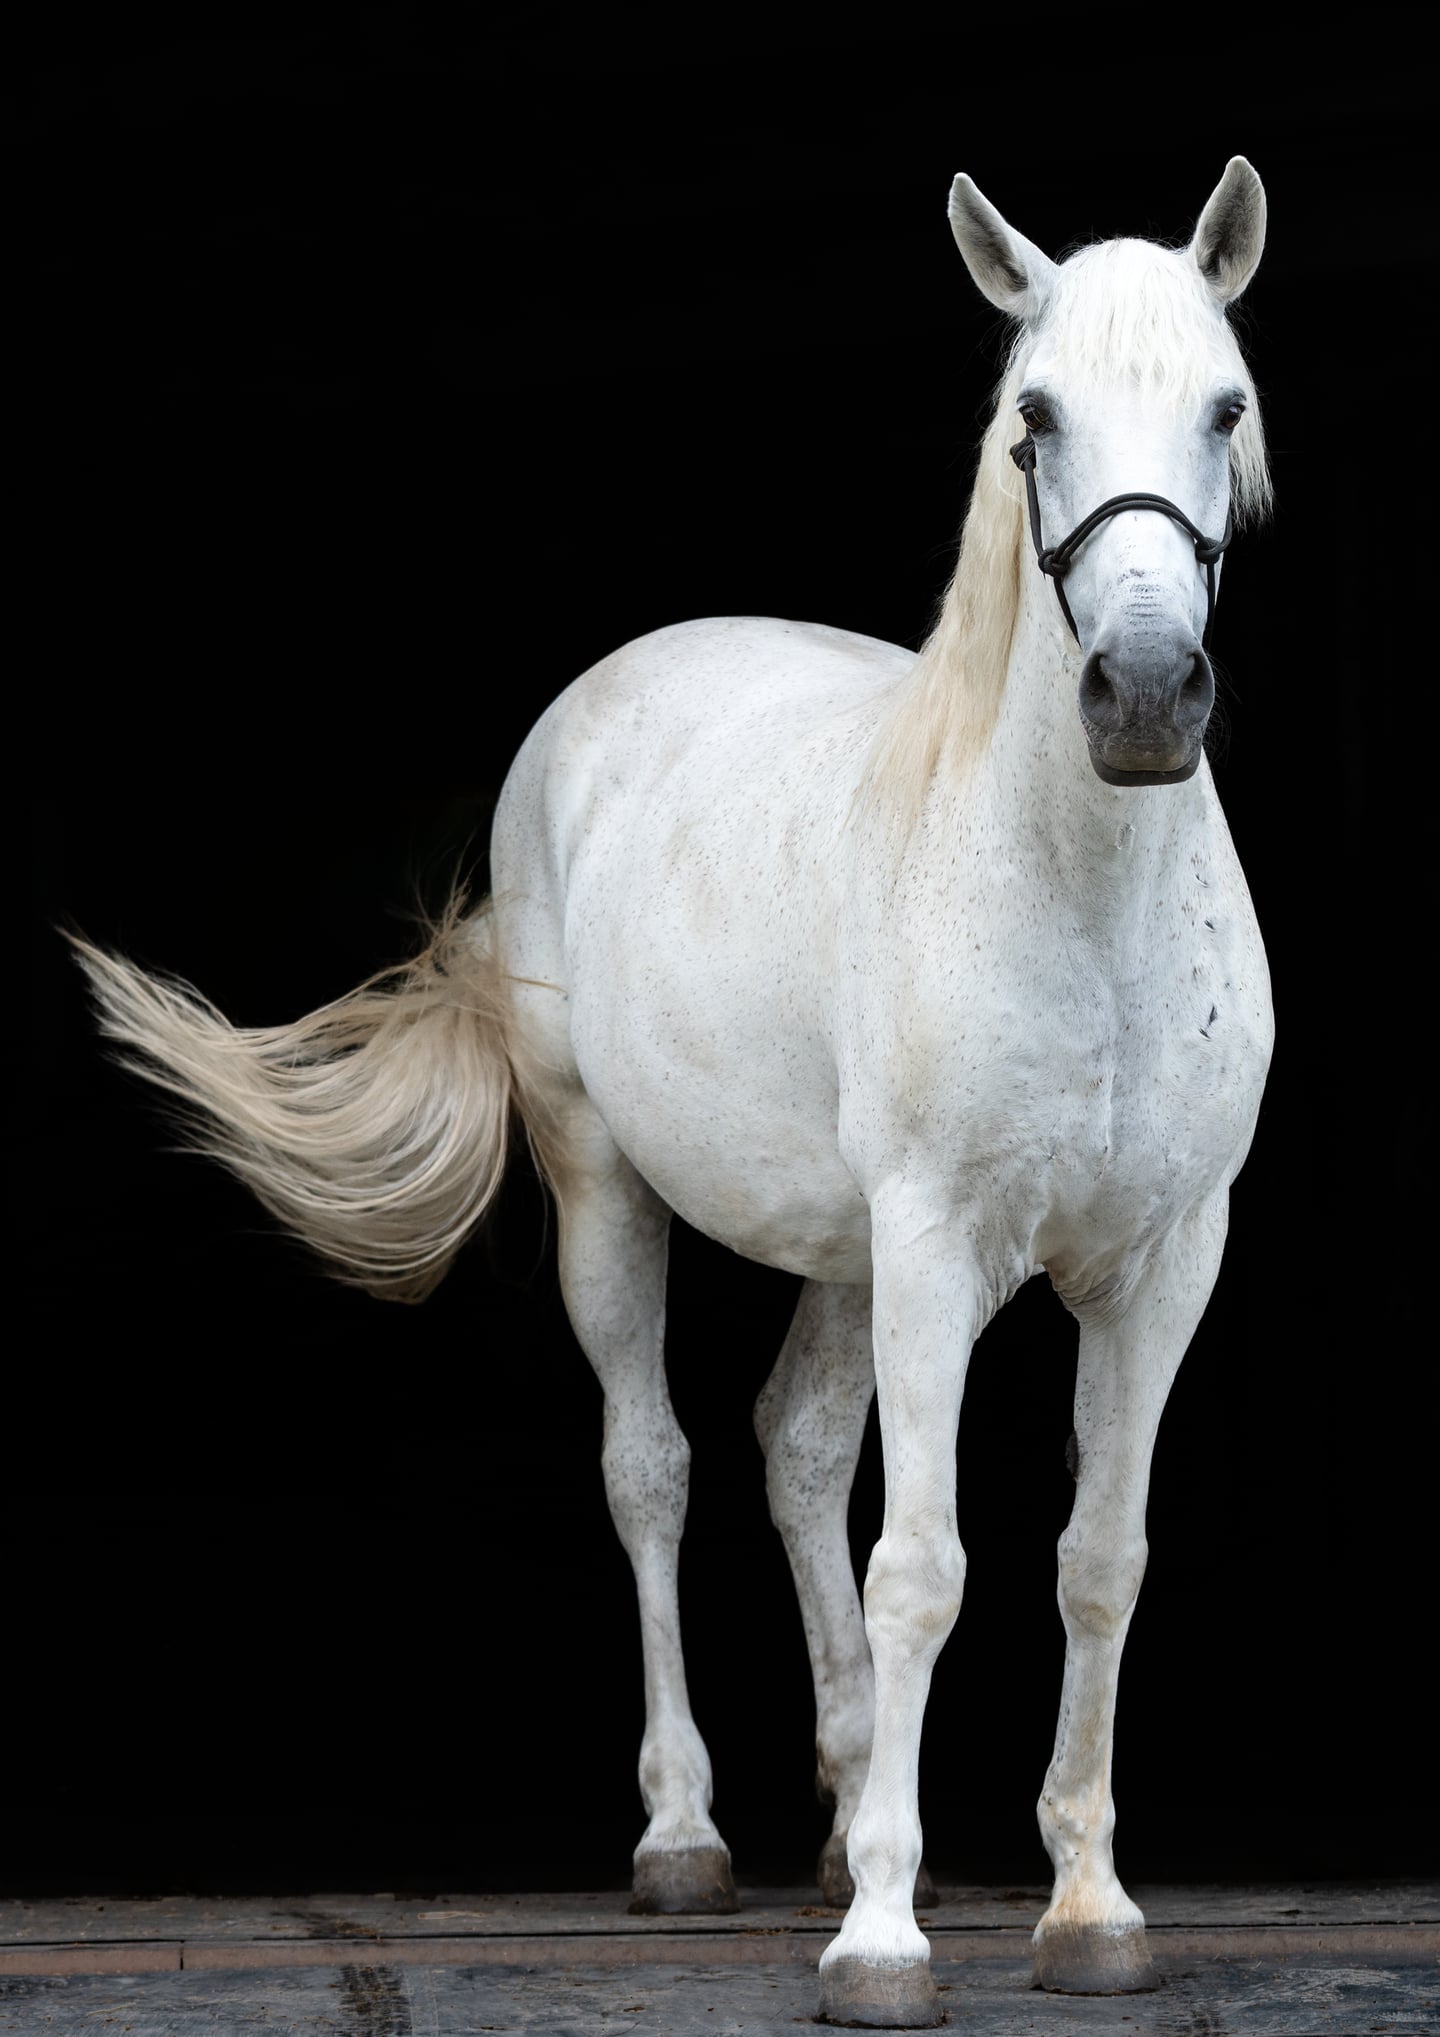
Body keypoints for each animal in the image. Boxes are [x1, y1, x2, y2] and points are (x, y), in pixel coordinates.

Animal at [72, 158, 1273, 2028]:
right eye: (1033, 421)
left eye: (1224, 406)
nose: (1144, 695)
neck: (1083, 905)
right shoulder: (939, 1248)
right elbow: (923, 1567)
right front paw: (882, 1941)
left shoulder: (1160, 1265)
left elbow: (1099, 1559)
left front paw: (1086, 1910)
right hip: (617, 1196)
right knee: (655, 1466)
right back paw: (690, 1840)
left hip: (849, 1252)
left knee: (794, 1447)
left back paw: (845, 1808)